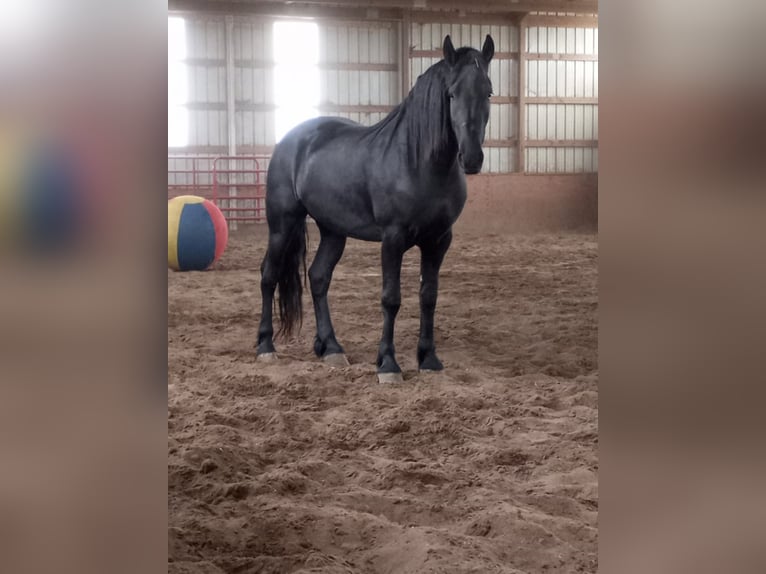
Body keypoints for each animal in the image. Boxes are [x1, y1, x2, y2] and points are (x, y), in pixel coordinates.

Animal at [256, 32, 498, 382]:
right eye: (452, 94)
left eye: (488, 91)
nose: (472, 158)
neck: (419, 163)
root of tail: (291, 139)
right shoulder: (392, 239)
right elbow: (391, 298)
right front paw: (388, 364)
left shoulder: (439, 240)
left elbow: (429, 297)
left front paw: (429, 358)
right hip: (282, 224)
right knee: (269, 275)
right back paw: (265, 346)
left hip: (333, 231)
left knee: (318, 277)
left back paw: (331, 348)